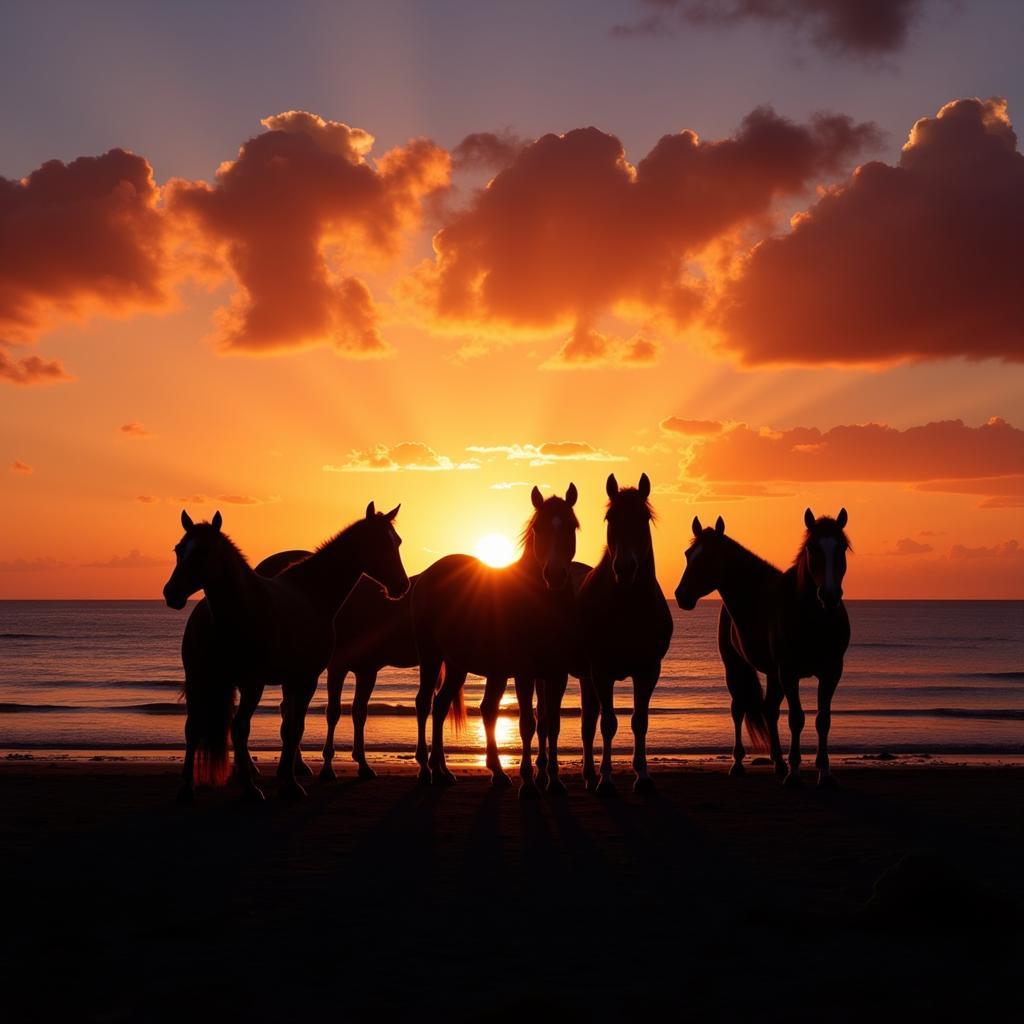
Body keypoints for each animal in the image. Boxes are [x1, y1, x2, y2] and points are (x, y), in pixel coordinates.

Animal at [161, 501, 409, 798]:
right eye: (179, 550)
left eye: (397, 542)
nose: (171, 593)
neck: (311, 594)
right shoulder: (305, 679)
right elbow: (293, 728)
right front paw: (291, 783)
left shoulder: (290, 679)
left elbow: (290, 725)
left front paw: (287, 774)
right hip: (243, 684)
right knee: (236, 728)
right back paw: (249, 786)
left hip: (203, 679)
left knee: (194, 726)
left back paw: (189, 786)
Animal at [409, 483, 581, 794]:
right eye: (538, 528)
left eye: (571, 525)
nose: (554, 575)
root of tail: (429, 574)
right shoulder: (525, 673)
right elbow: (527, 723)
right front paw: (528, 783)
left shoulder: (556, 673)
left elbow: (552, 723)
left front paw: (554, 781)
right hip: (430, 655)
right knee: (424, 703)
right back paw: (426, 770)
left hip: (458, 664)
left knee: (441, 706)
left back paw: (447, 771)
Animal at [581, 475, 675, 794]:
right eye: (611, 518)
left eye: (643, 518)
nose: (624, 568)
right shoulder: (601, 670)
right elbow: (608, 723)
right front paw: (607, 780)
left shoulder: (648, 670)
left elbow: (640, 721)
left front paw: (643, 776)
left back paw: (588, 776)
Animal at [675, 507, 851, 786]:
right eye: (688, 554)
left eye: (842, 547)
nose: (682, 595)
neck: (813, 616)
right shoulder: (788, 672)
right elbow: (796, 718)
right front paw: (794, 773)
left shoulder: (831, 671)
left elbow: (823, 720)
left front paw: (824, 773)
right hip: (735, 666)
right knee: (738, 709)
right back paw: (738, 763)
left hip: (772, 674)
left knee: (769, 710)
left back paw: (778, 762)